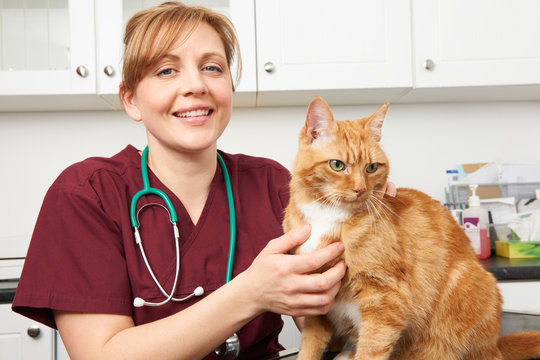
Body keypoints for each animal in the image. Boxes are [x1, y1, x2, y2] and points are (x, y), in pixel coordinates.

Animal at [282, 96, 540, 360]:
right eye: (337, 165)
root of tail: (495, 344)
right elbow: (310, 345)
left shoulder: (385, 298)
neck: (325, 215)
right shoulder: (316, 300)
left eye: (372, 168)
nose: (360, 189)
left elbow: (370, 349)